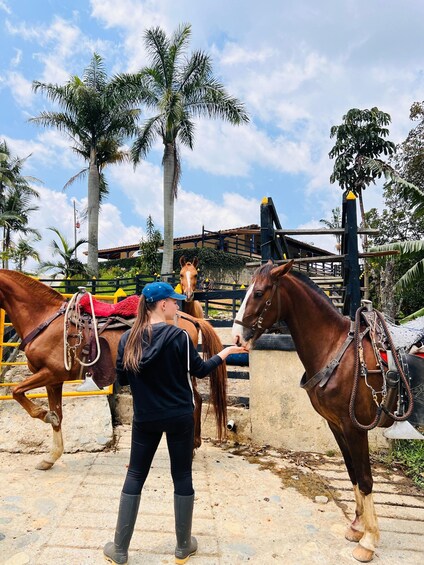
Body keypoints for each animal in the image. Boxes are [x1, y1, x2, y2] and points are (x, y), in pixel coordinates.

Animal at [0, 268, 227, 472]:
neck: (45, 320)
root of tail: (190, 319)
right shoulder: (53, 380)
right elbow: (58, 415)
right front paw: (50, 457)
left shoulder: (51, 373)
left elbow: (17, 391)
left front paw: (44, 415)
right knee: (197, 399)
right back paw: (194, 445)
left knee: (193, 401)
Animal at [232, 262, 398, 560]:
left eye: (259, 293)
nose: (236, 336)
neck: (338, 353)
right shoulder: (337, 425)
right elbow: (353, 473)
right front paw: (358, 527)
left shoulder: (356, 427)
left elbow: (366, 478)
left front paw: (368, 541)